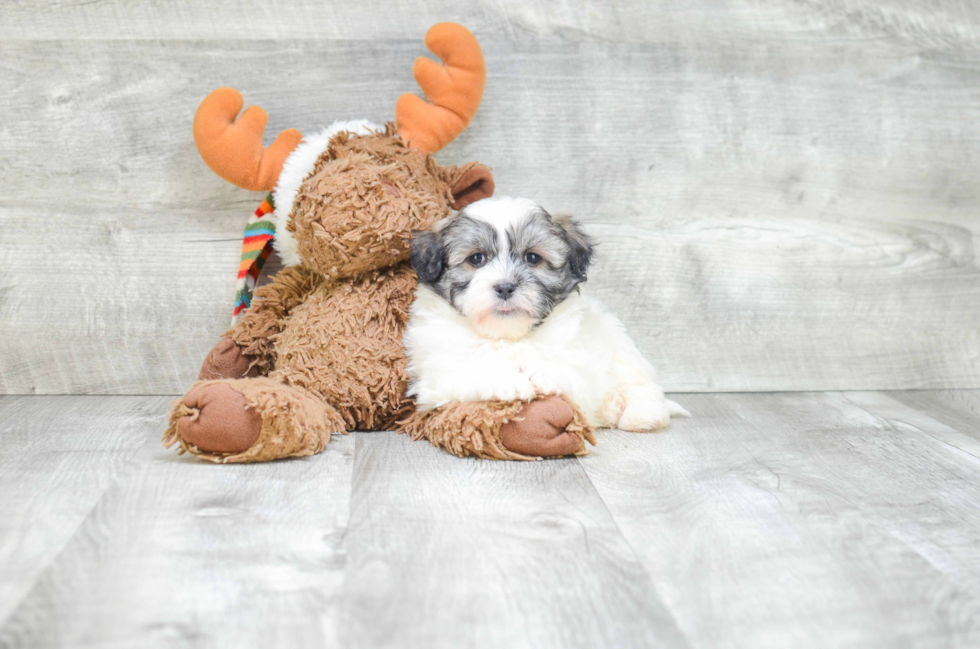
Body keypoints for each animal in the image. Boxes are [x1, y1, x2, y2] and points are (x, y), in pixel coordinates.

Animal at [402, 197, 684, 430]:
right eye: (476, 259)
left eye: (533, 258)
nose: (505, 287)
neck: (507, 336)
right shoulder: (436, 373)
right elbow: (471, 370)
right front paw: (508, 381)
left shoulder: (579, 365)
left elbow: (567, 373)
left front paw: (542, 374)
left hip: (621, 347)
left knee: (642, 387)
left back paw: (640, 416)